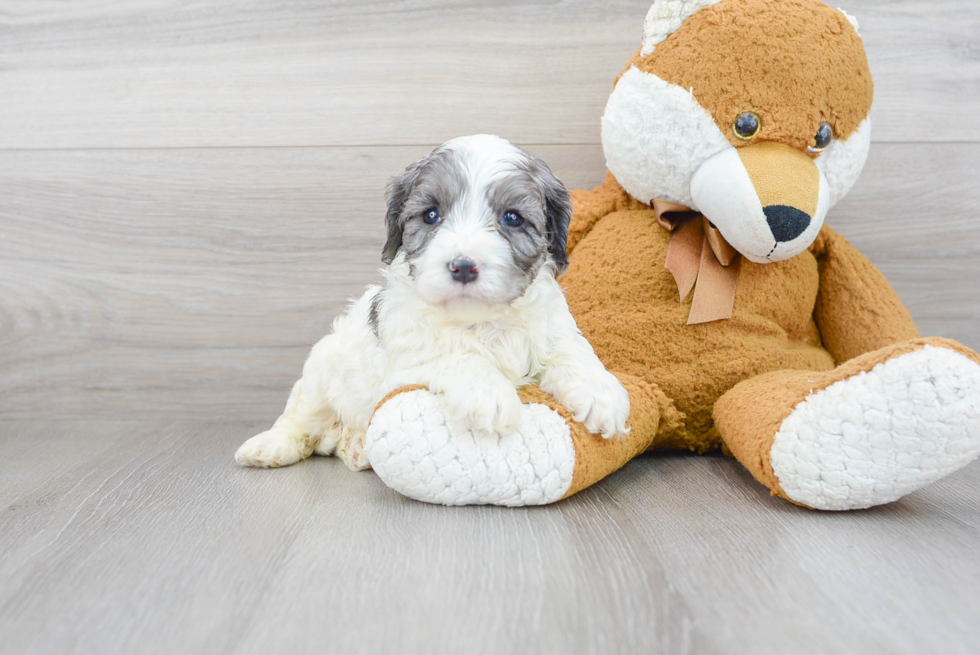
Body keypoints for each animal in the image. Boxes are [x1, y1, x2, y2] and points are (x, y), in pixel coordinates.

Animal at [234, 135, 632, 472]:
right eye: (430, 215)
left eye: (512, 218)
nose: (463, 266)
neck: (481, 320)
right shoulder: (408, 358)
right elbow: (456, 355)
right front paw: (490, 395)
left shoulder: (551, 327)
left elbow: (572, 350)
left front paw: (602, 395)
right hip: (321, 369)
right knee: (302, 418)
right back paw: (271, 446)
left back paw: (355, 445)